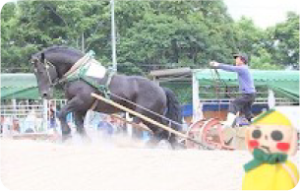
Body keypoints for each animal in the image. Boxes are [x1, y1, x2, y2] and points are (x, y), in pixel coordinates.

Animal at [30, 46, 182, 146]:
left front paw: (67, 135)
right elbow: (79, 125)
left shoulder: (80, 101)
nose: (44, 94)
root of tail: (161, 89)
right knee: (164, 132)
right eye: (35, 72)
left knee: (147, 131)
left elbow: (61, 114)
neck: (79, 72)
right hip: (152, 117)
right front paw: (86, 142)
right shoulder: (81, 107)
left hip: (142, 115)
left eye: (42, 71)